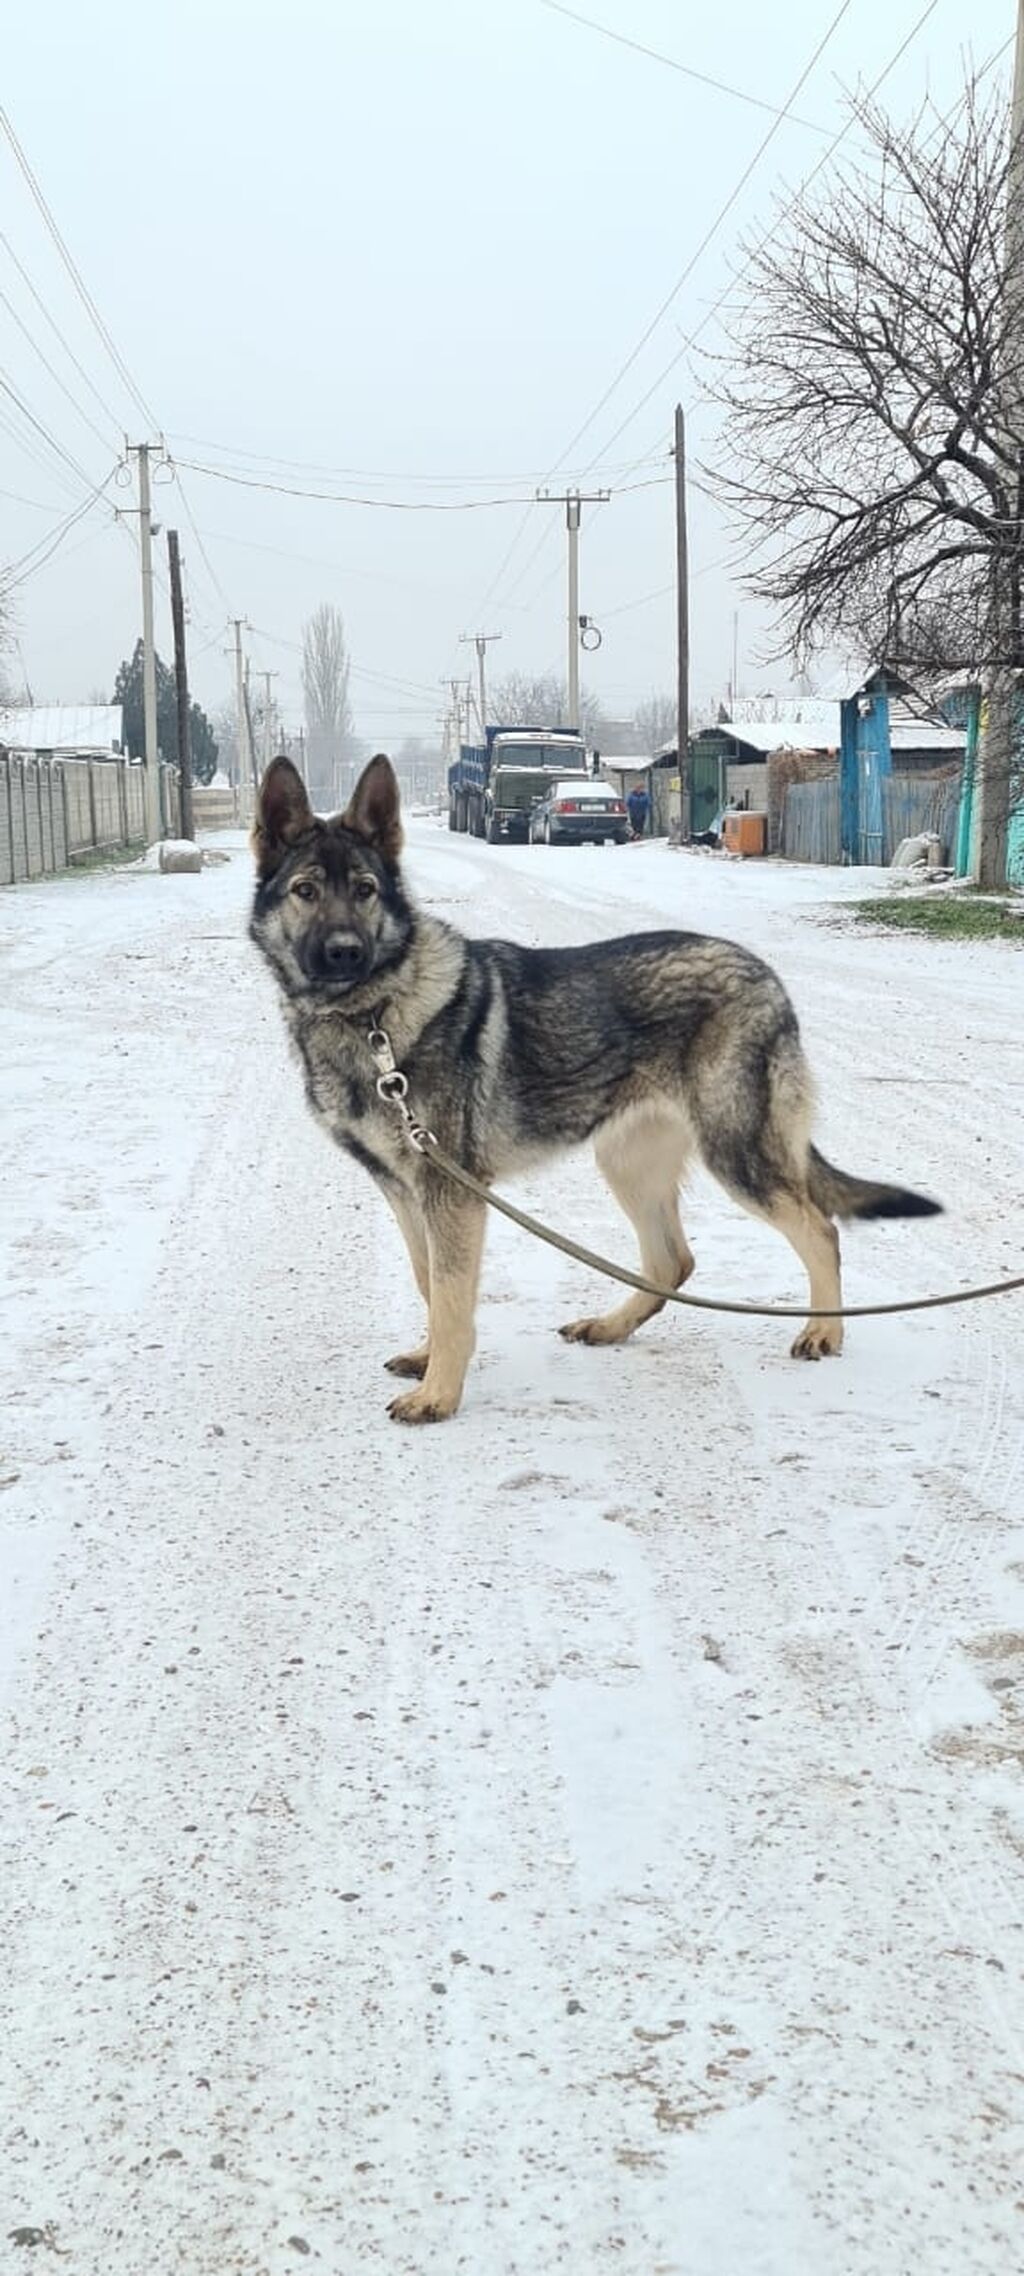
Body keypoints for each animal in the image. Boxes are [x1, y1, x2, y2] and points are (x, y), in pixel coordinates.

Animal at [251, 755, 942, 1429]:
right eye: (306, 891)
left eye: (365, 891)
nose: (344, 953)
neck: (370, 1014)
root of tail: (763, 973)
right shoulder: (404, 1191)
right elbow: (428, 1282)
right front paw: (428, 1361)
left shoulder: (451, 1192)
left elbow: (449, 1295)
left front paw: (439, 1394)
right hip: (627, 1162)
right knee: (672, 1262)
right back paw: (611, 1327)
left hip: (735, 1155)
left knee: (818, 1229)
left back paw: (824, 1332)